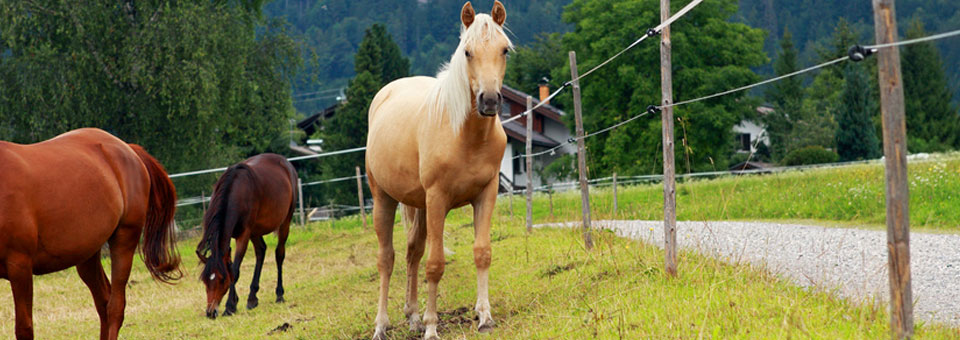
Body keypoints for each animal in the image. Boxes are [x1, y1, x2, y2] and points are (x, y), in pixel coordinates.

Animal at [0, 128, 182, 340]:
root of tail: (128, 149)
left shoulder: (19, 266)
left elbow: (24, 328)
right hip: (87, 255)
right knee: (103, 302)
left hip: (124, 240)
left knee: (115, 307)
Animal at [196, 153, 296, 318]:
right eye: (205, 281)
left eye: (222, 280)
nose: (210, 312)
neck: (236, 192)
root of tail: (285, 162)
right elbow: (231, 266)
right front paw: (236, 302)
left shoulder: (243, 235)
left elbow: (234, 270)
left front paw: (230, 306)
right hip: (255, 231)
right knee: (261, 251)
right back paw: (252, 298)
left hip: (285, 222)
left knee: (279, 254)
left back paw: (279, 294)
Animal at [364, 1, 510, 338]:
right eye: (467, 52)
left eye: (505, 50)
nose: (489, 100)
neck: (465, 137)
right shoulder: (437, 199)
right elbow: (435, 264)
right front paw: (432, 326)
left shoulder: (486, 194)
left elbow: (482, 252)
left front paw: (485, 316)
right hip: (384, 200)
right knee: (386, 259)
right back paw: (382, 324)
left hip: (417, 205)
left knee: (411, 253)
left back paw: (413, 316)